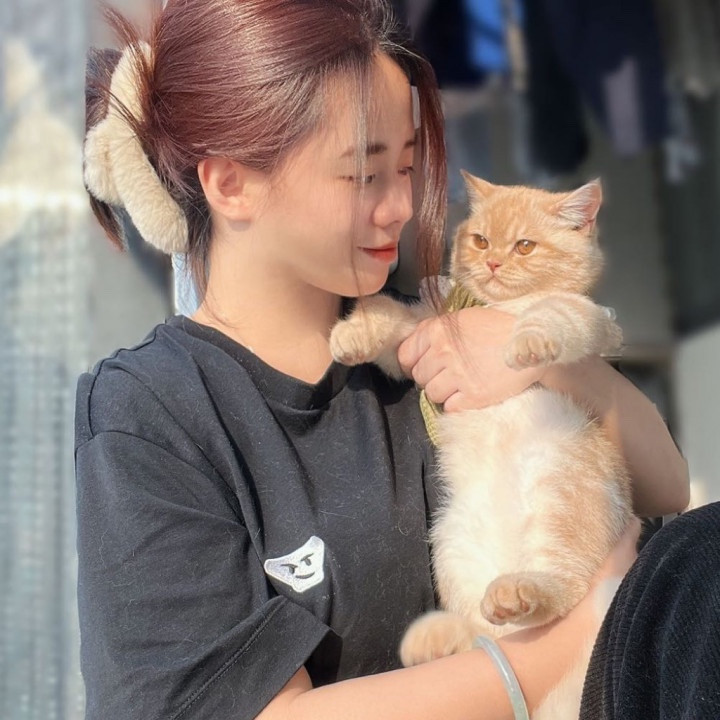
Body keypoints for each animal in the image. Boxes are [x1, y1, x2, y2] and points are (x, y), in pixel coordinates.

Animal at [329, 171, 633, 719]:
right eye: (481, 240)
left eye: (525, 246)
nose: (492, 263)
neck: (492, 307)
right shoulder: (420, 337)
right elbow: (391, 315)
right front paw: (350, 336)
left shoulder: (594, 321)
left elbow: (553, 312)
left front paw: (526, 342)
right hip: (451, 540)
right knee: (483, 638)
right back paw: (433, 637)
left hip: (561, 498)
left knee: (560, 591)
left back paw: (517, 592)